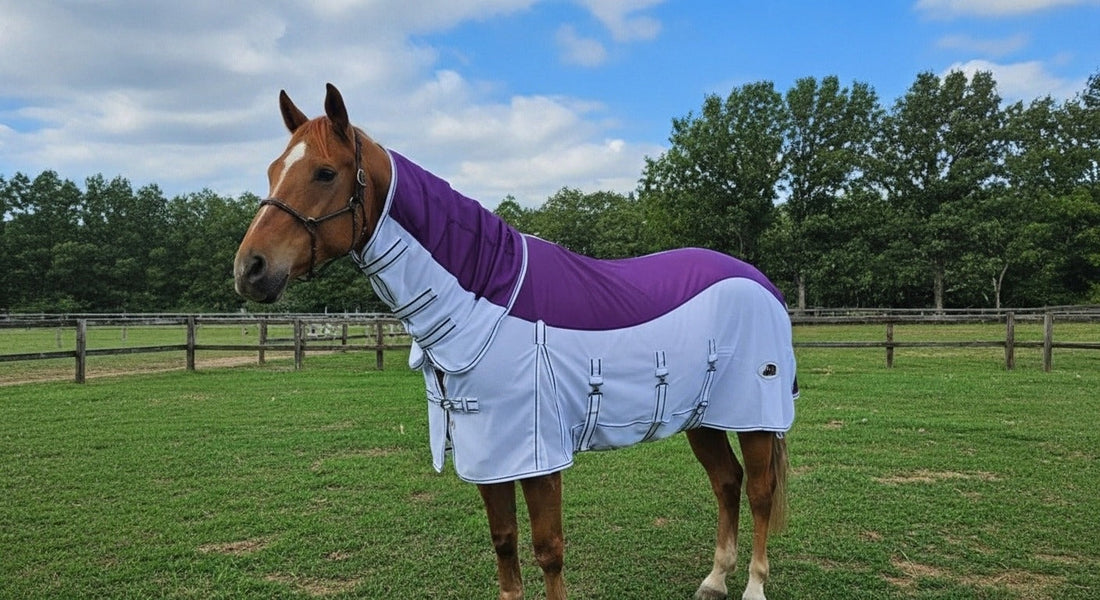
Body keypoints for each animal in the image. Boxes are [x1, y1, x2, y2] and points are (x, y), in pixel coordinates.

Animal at [234, 83, 797, 600]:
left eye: (325, 173)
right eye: (272, 169)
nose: (249, 269)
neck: (486, 304)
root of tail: (761, 282)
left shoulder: (539, 458)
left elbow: (548, 550)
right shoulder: (490, 457)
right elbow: (504, 541)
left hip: (755, 419)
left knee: (759, 492)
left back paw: (752, 585)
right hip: (702, 418)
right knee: (727, 483)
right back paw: (714, 580)